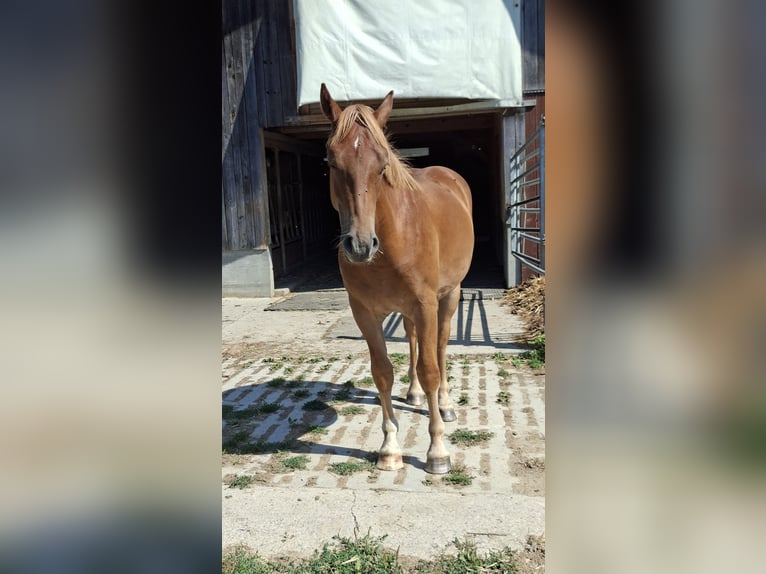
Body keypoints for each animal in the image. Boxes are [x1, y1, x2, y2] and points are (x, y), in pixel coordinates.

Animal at [320, 84, 474, 474]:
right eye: (331, 162)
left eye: (382, 165)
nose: (360, 245)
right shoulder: (365, 313)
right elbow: (382, 373)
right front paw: (389, 447)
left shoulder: (426, 304)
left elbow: (431, 367)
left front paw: (437, 451)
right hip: (407, 311)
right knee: (413, 340)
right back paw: (414, 393)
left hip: (449, 297)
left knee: (440, 347)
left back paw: (445, 404)